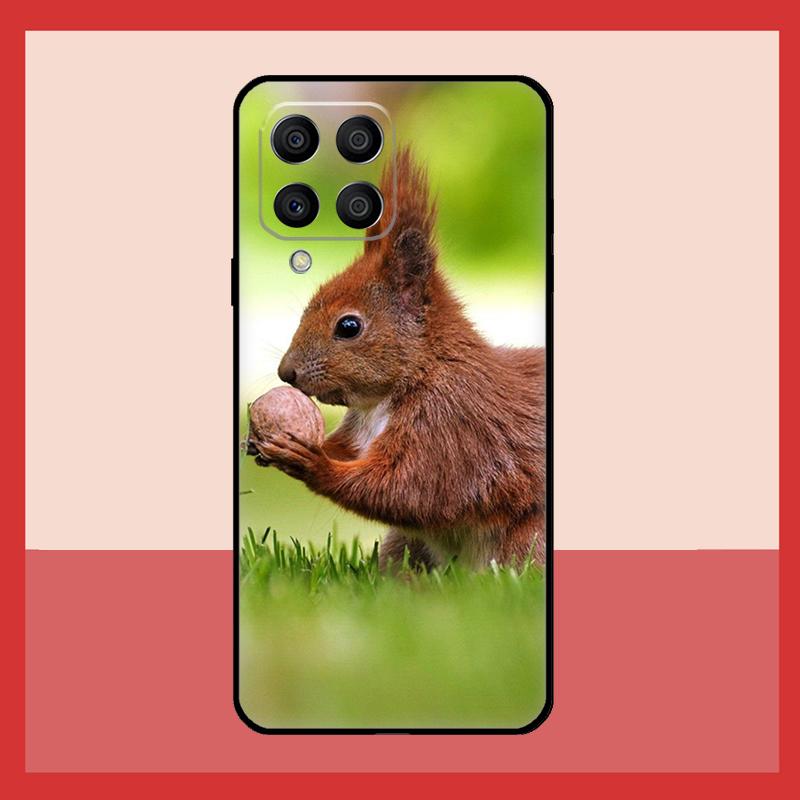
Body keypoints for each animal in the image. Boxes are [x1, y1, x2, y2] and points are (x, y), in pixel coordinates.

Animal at [250, 148, 546, 570]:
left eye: (349, 326)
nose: (285, 372)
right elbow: (351, 455)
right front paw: (262, 443)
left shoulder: (452, 428)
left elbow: (408, 490)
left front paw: (311, 462)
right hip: (404, 547)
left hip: (527, 541)